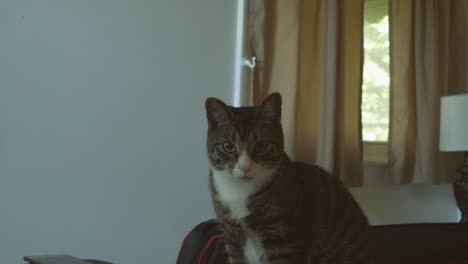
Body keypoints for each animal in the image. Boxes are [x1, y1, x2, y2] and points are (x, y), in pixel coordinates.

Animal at [205, 92, 376, 262]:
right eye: (228, 146)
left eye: (261, 145)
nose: (245, 167)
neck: (240, 191)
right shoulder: (231, 235)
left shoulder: (283, 238)